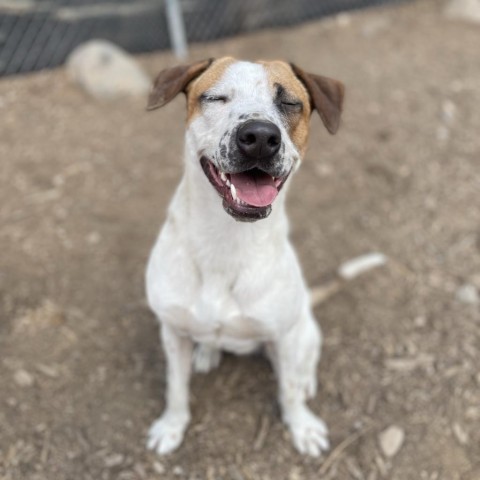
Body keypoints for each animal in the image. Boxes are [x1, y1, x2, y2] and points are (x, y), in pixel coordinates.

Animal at [144, 57, 344, 458]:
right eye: (216, 97)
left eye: (290, 103)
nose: (260, 137)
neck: (226, 242)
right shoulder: (171, 332)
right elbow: (175, 388)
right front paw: (172, 426)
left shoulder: (285, 337)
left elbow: (289, 391)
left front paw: (301, 426)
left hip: (303, 330)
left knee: (304, 362)